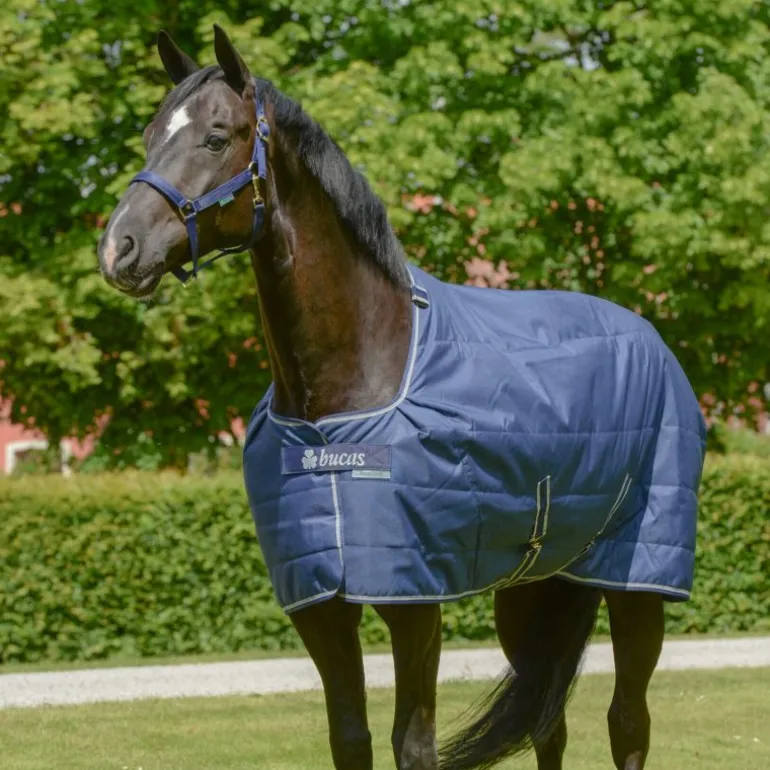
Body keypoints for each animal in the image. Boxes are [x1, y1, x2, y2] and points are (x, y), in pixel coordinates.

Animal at [97, 26, 707, 770]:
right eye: (151, 135)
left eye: (217, 136)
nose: (119, 249)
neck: (340, 407)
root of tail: (650, 337)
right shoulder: (321, 604)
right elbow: (350, 738)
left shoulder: (415, 602)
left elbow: (412, 744)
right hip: (535, 590)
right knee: (548, 721)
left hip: (637, 583)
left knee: (628, 721)